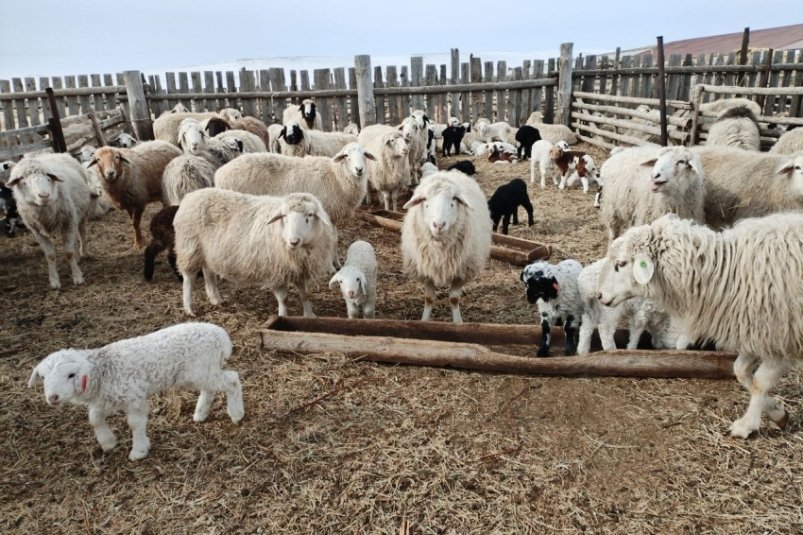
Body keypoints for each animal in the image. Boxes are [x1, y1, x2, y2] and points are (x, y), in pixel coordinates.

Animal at [7, 154, 95, 288]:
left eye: (48, 178)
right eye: (24, 182)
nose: (44, 196)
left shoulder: (67, 221)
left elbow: (68, 253)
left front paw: (77, 277)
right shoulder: (37, 231)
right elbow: (50, 256)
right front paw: (54, 281)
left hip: (82, 211)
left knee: (81, 231)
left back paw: (84, 252)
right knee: (74, 236)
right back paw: (78, 257)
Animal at [28, 322, 244, 461]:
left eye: (71, 375)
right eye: (43, 377)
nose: (53, 397)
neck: (102, 371)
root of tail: (220, 335)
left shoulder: (134, 398)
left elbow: (134, 424)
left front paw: (139, 450)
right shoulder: (105, 399)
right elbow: (94, 418)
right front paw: (108, 442)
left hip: (202, 368)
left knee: (232, 380)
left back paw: (236, 413)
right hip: (199, 372)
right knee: (210, 389)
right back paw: (200, 414)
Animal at [175, 190, 337, 317]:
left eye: (310, 215)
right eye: (284, 216)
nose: (293, 241)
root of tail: (190, 196)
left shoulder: (299, 269)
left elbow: (304, 294)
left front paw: (309, 315)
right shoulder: (276, 272)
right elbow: (283, 298)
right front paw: (282, 316)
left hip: (208, 252)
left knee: (208, 272)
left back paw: (215, 299)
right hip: (189, 247)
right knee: (188, 278)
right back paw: (189, 308)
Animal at [401, 171, 492, 324]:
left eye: (454, 199)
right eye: (425, 199)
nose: (439, 225)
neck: (440, 248)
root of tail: (449, 172)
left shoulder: (460, 273)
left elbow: (454, 299)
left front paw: (458, 323)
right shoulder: (426, 271)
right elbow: (429, 299)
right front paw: (424, 321)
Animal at [597, 212, 803, 438]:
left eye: (621, 263)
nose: (599, 295)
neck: (726, 274)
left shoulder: (781, 339)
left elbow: (760, 383)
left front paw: (746, 425)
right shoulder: (753, 331)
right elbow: (740, 371)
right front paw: (778, 413)